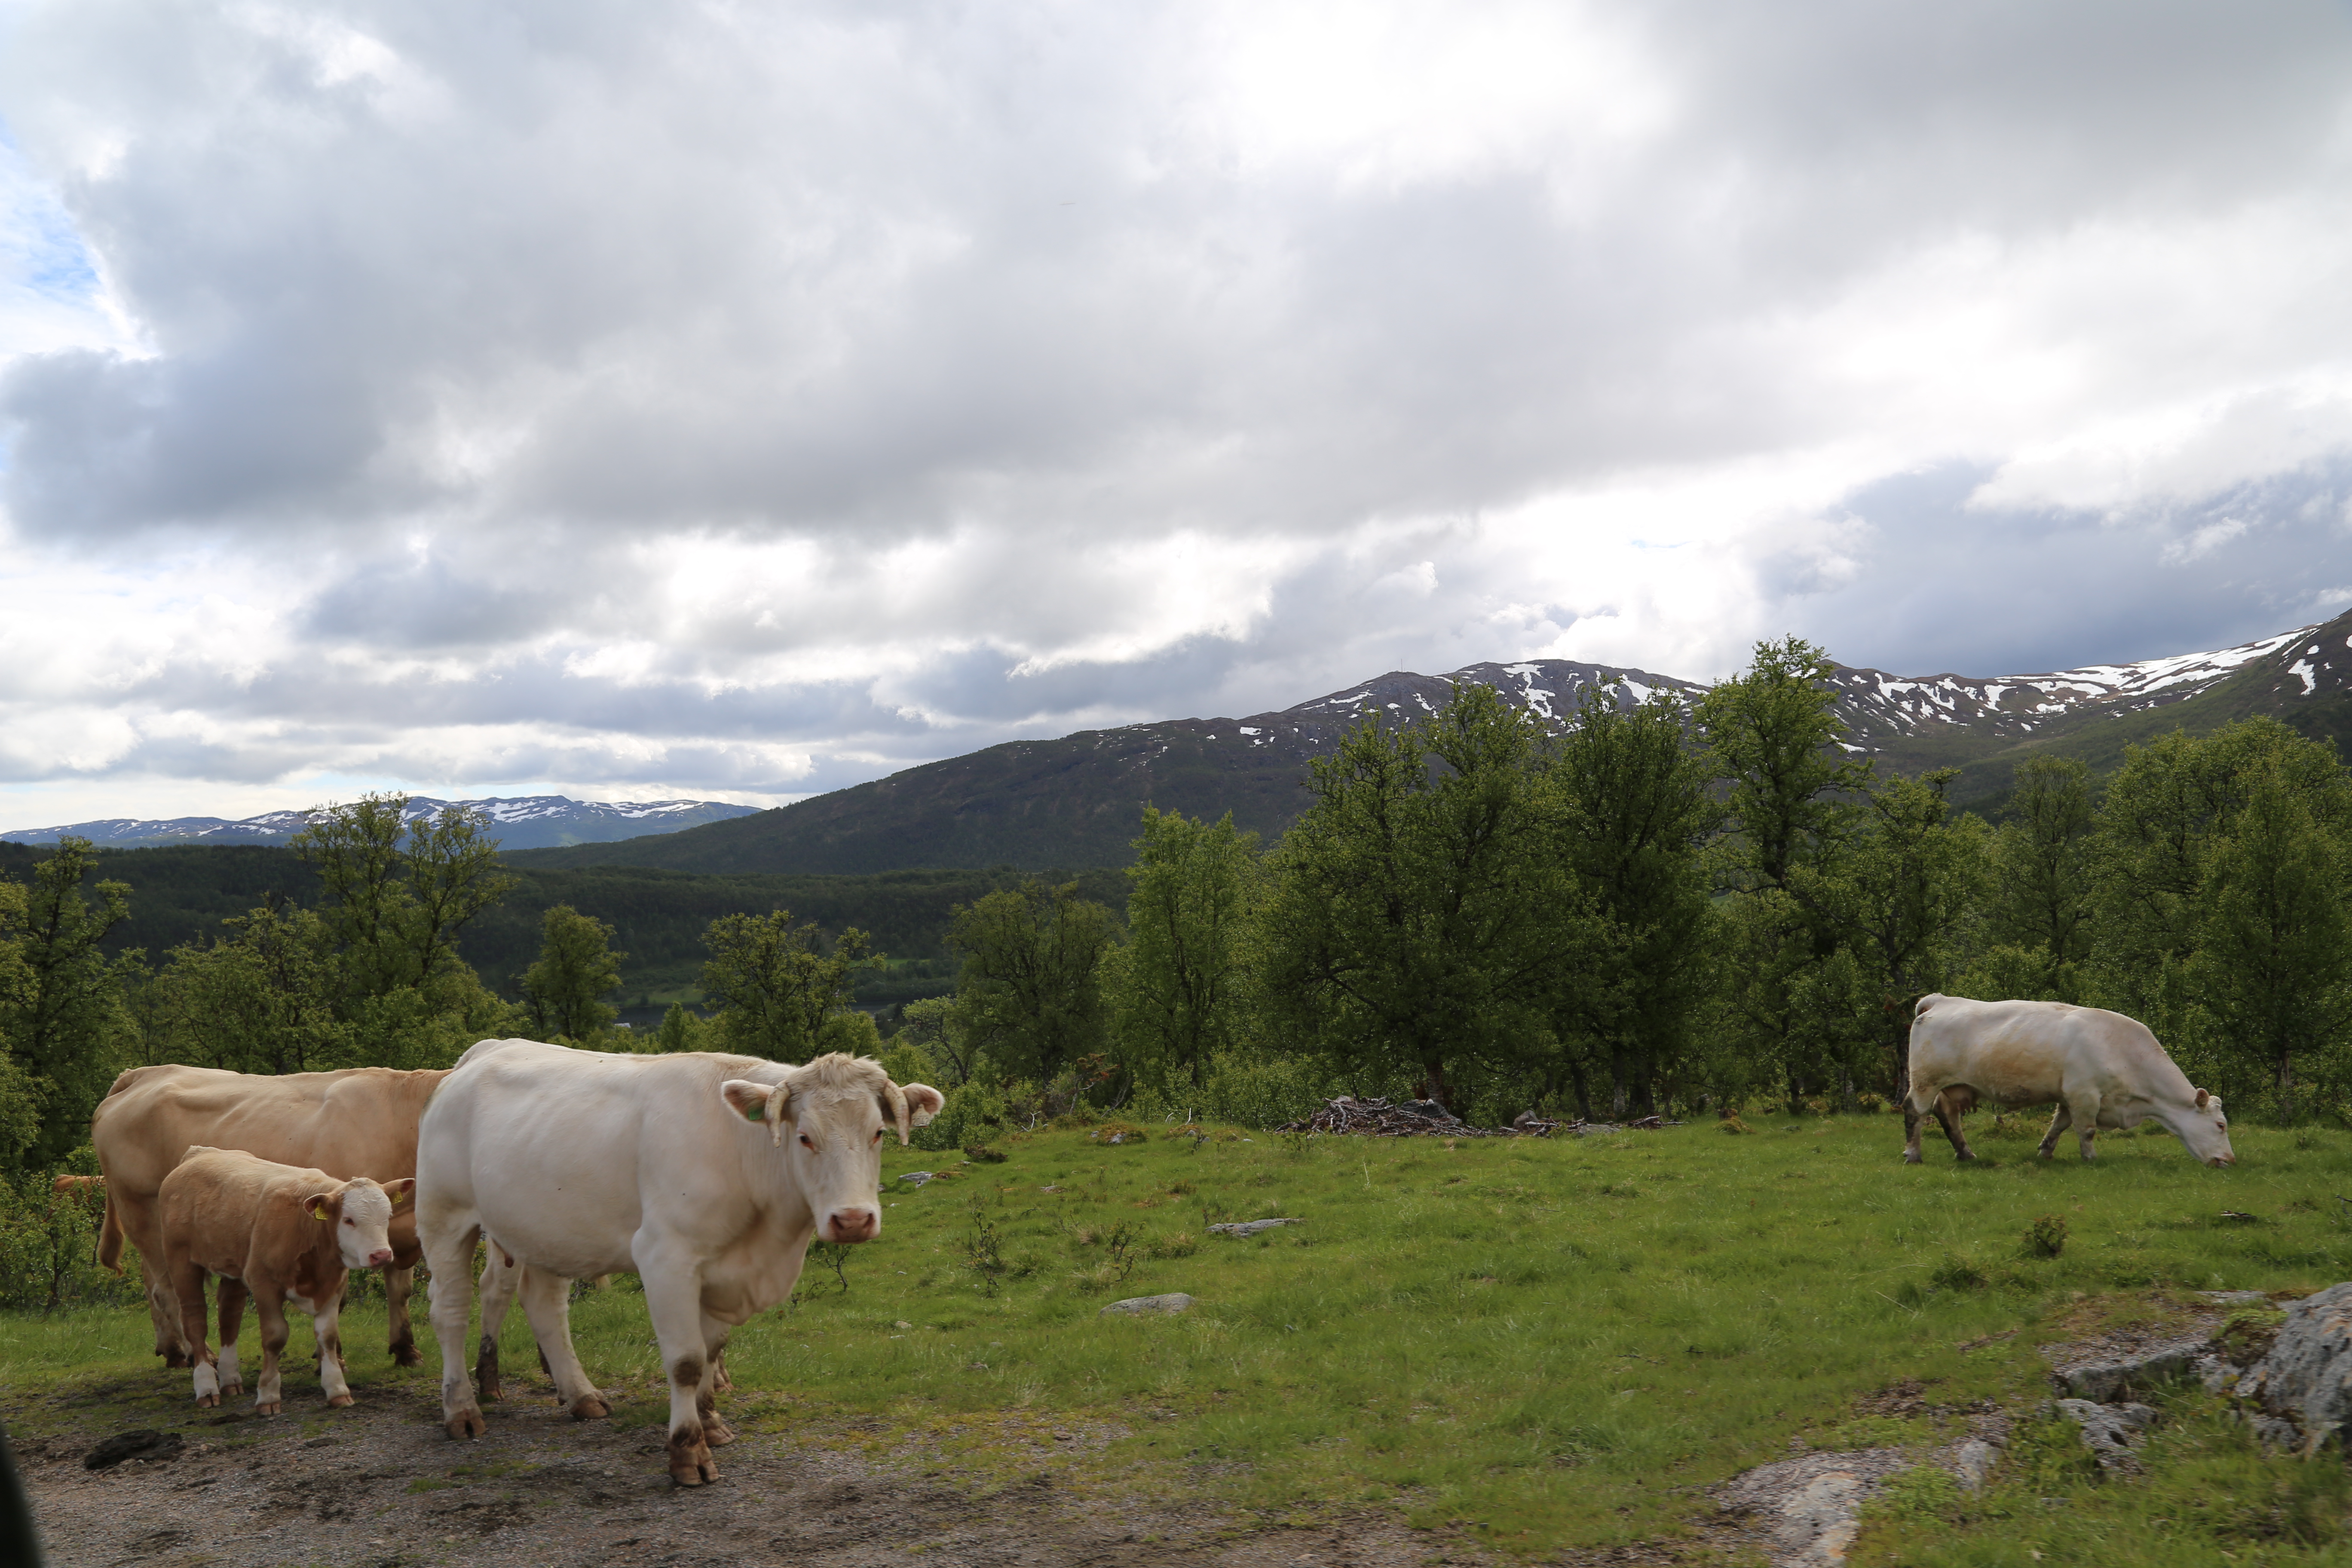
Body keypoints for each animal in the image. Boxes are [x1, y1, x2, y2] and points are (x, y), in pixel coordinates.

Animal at [94, 1063, 449, 1363]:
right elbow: (338, 1299)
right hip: (143, 1211)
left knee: (150, 1281)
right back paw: (201, 1354)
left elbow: (400, 1290)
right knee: (167, 1291)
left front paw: (406, 1350)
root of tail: (142, 1074)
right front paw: (331, 1358)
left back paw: (173, 1351)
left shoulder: (395, 1224)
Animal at [159, 1147, 414, 1420]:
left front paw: (337, 1390)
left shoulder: (334, 1284)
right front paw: (268, 1396)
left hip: (234, 1267)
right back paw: (206, 1388)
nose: (382, 1255)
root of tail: (200, 1153)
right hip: (181, 1262)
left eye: (388, 1216)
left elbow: (328, 1336)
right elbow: (275, 1337)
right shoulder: (264, 1283)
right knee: (195, 1319)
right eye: (348, 1220)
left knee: (229, 1316)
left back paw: (230, 1381)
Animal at [419, 1044, 940, 1485]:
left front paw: (711, 1423)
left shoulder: (723, 1269)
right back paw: (462, 1411)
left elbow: (712, 1351)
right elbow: (687, 1361)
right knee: (450, 1312)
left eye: (878, 1133)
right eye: (805, 1137)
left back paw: (582, 1395)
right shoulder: (666, 1257)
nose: (852, 1220)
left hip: (546, 1228)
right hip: (445, 1218)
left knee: (544, 1305)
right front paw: (688, 1452)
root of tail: (482, 1052)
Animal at [1900, 1001, 2230, 1170]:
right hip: (1925, 1082)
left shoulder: (2071, 1096)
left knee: (1947, 1115)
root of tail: (1942, 1000)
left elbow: (2059, 1125)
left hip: (1953, 1087)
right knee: (1915, 1112)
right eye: (2221, 1125)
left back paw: (1965, 1153)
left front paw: (2046, 1152)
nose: (2230, 1160)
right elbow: (2087, 1130)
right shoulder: (2084, 1094)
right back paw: (1913, 1154)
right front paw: (2090, 1159)